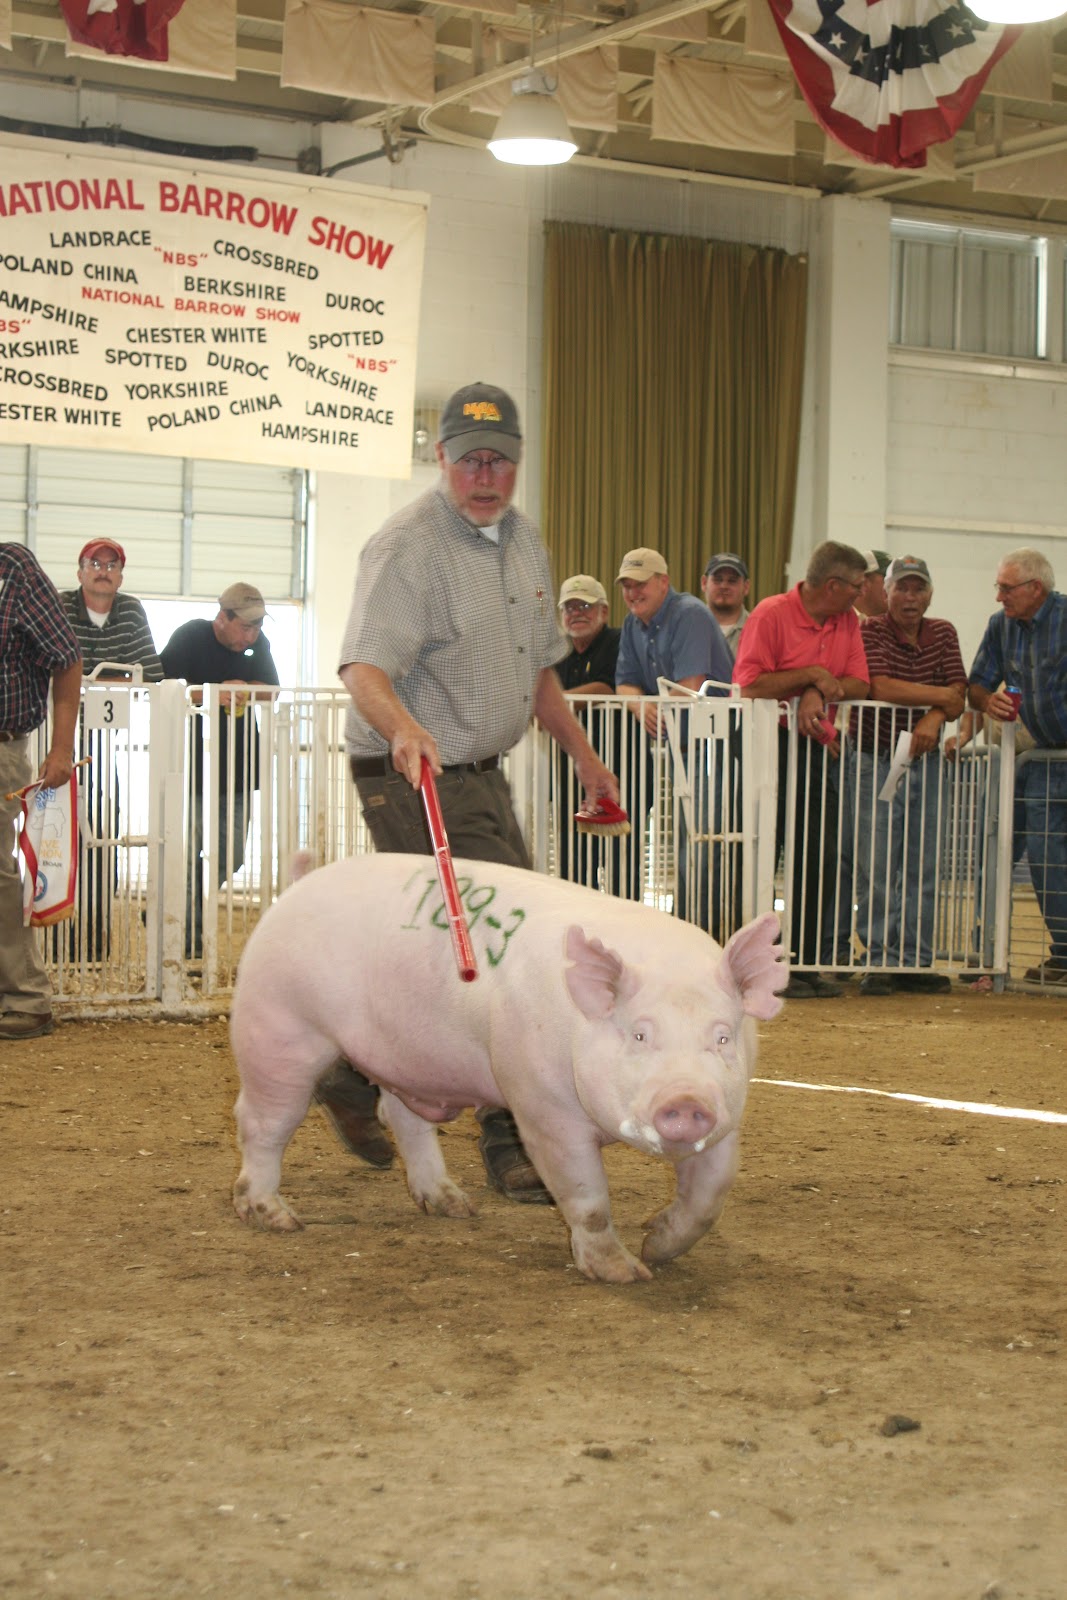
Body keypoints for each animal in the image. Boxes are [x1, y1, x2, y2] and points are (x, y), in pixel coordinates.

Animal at [230, 853, 786, 1284]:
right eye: (640, 1035)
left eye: (722, 1037)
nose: (686, 1102)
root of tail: (298, 884)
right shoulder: (543, 1108)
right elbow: (587, 1198)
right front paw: (625, 1273)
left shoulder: (729, 1118)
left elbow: (709, 1196)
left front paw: (656, 1245)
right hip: (277, 1026)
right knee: (262, 1122)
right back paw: (275, 1217)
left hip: (406, 1059)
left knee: (404, 1120)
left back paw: (454, 1206)